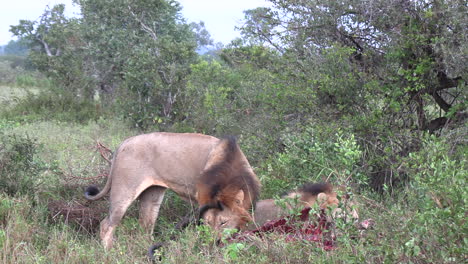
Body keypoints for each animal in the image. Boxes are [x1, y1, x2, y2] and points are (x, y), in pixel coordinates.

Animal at [83, 133, 260, 249]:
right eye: (207, 222)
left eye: (223, 222)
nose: (213, 242)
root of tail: (124, 142)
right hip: (124, 190)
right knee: (106, 225)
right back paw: (108, 252)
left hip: (152, 195)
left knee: (145, 225)